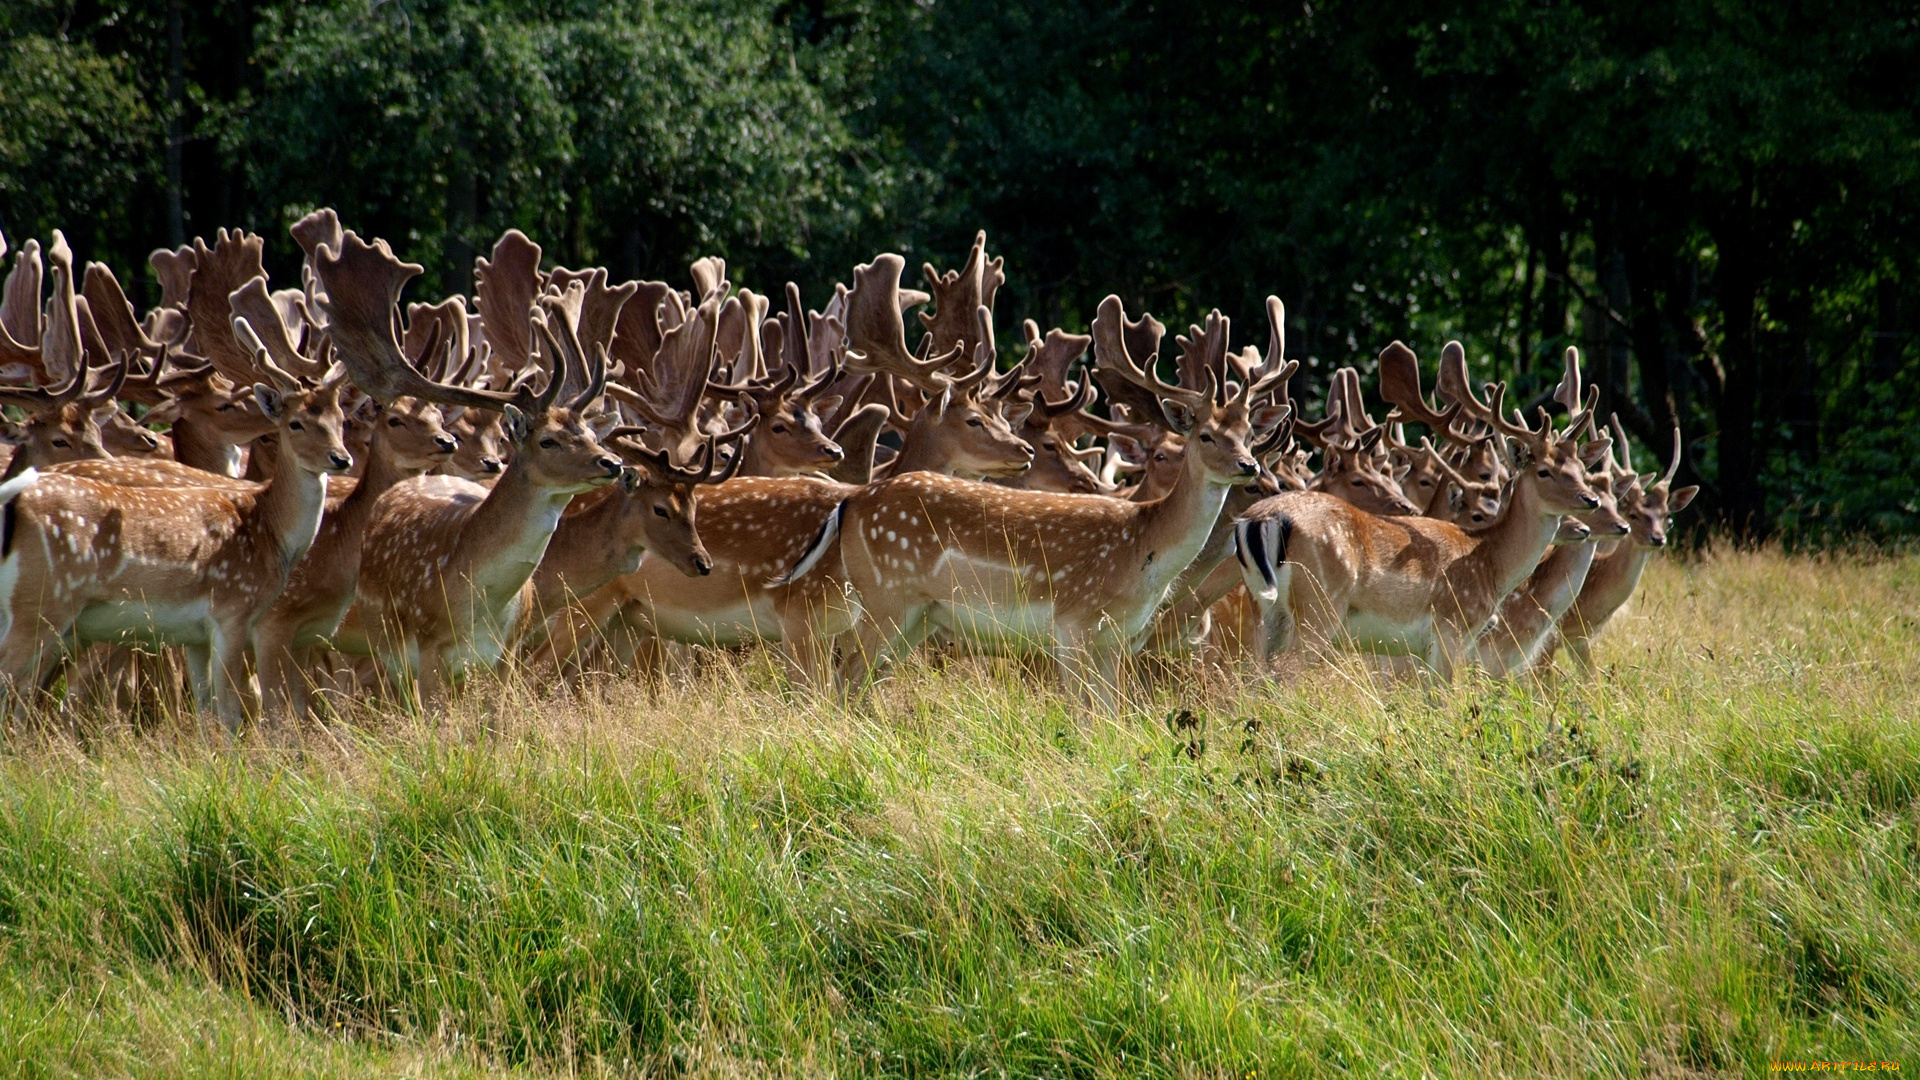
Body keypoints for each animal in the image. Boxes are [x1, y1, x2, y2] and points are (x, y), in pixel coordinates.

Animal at [813, 293, 1288, 705]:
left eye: (1248, 434)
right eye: (1205, 435)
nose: (1250, 467)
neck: (1142, 550)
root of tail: (850, 504)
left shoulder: (1116, 639)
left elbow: (1111, 711)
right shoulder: (1072, 623)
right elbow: (1083, 714)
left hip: (919, 614)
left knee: (862, 677)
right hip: (885, 595)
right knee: (847, 672)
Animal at [1234, 342, 1609, 679]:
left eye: (1580, 467)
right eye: (1544, 471)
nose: (1590, 500)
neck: (1491, 562)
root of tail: (1259, 520)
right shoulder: (1451, 630)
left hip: (1265, 610)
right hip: (1320, 605)